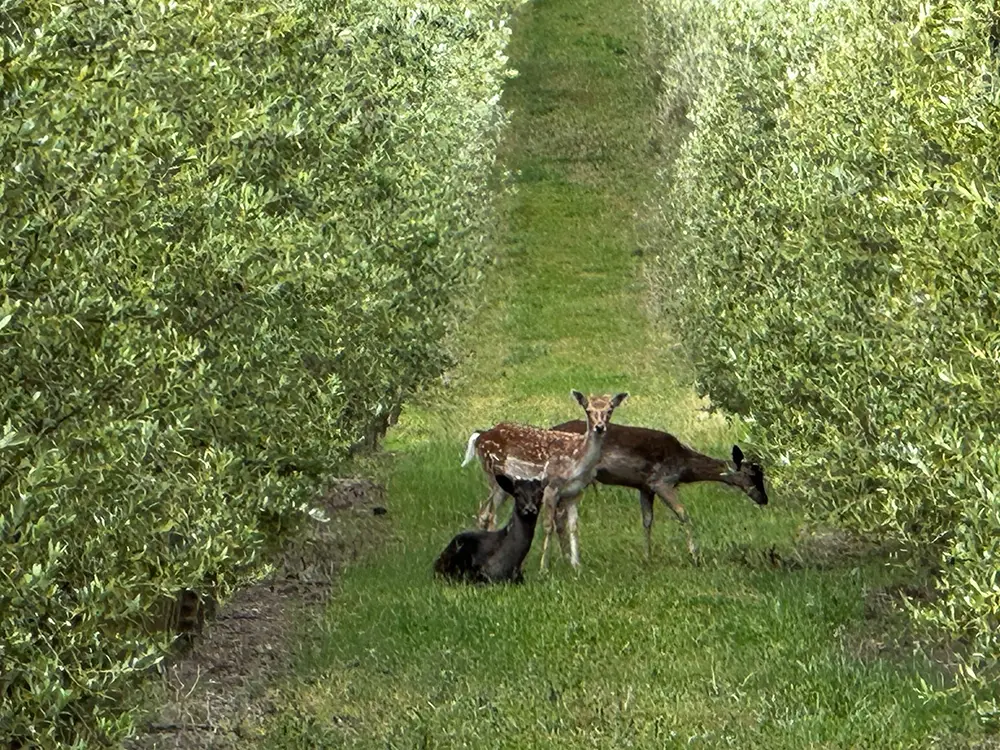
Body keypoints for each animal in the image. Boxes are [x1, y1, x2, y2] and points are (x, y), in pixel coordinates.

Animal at [461, 390, 628, 571]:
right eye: (588, 410)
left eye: (610, 410)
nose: (599, 427)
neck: (577, 459)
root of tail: (481, 435)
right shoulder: (551, 486)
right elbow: (549, 526)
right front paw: (544, 568)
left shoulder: (574, 492)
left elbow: (573, 526)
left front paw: (576, 565)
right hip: (494, 476)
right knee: (491, 514)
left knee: (485, 511)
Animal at [548, 420, 768, 562]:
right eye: (752, 475)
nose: (764, 499)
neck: (684, 466)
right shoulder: (662, 482)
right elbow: (683, 513)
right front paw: (694, 555)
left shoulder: (645, 486)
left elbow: (647, 520)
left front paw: (647, 557)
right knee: (558, 514)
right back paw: (565, 557)